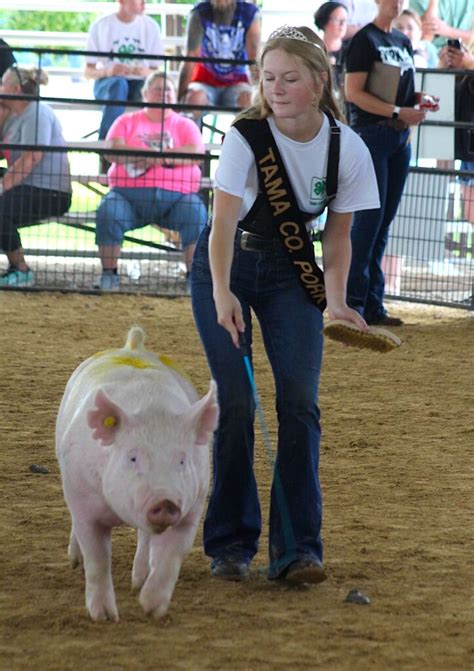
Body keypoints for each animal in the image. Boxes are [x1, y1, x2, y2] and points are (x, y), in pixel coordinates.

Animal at [56, 328, 218, 624]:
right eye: (132, 458)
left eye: (181, 460)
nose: (165, 501)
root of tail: (132, 347)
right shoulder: (82, 496)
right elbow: (97, 558)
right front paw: (105, 617)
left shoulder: (193, 504)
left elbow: (172, 556)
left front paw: (151, 608)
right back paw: (75, 562)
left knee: (145, 539)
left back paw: (138, 582)